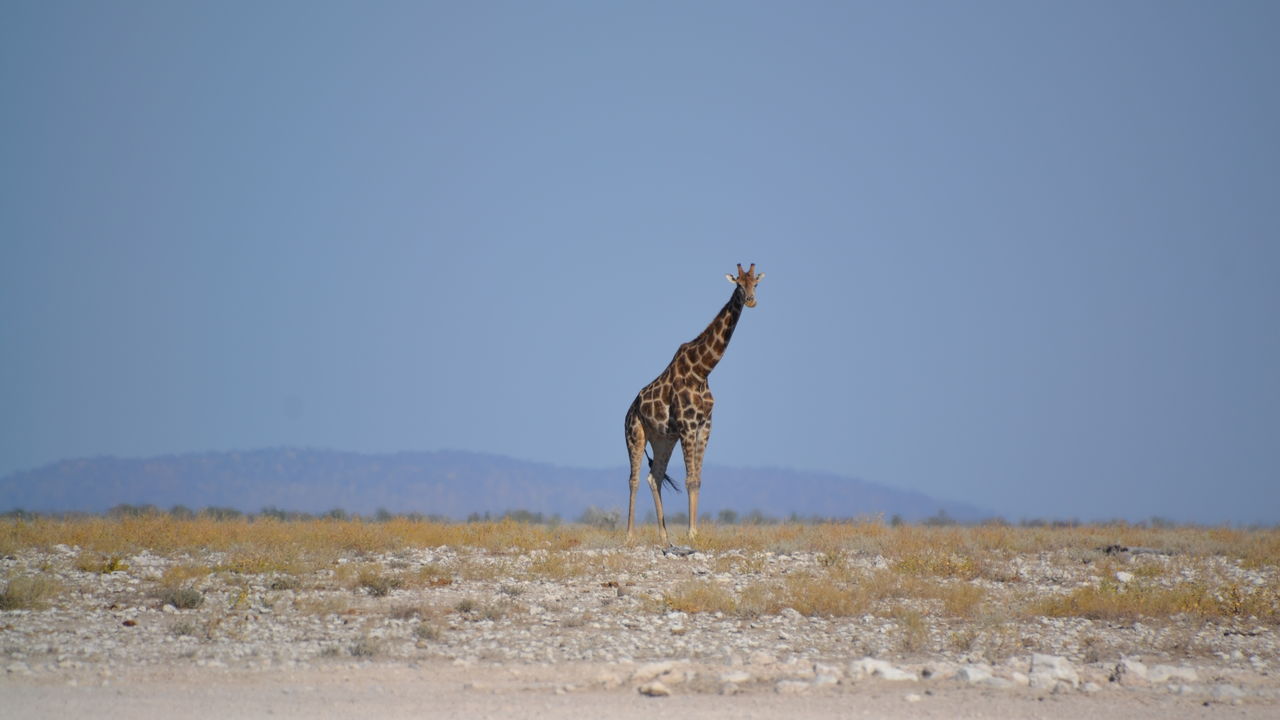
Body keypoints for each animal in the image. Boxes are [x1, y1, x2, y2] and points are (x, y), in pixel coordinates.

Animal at [627, 260, 762, 540]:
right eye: (739, 285)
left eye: (756, 283)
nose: (751, 300)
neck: (702, 371)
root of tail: (629, 409)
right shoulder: (688, 426)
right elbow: (690, 479)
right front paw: (691, 533)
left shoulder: (705, 426)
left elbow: (697, 479)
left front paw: (695, 532)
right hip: (635, 434)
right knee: (633, 479)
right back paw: (629, 536)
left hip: (663, 439)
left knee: (654, 476)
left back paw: (664, 537)